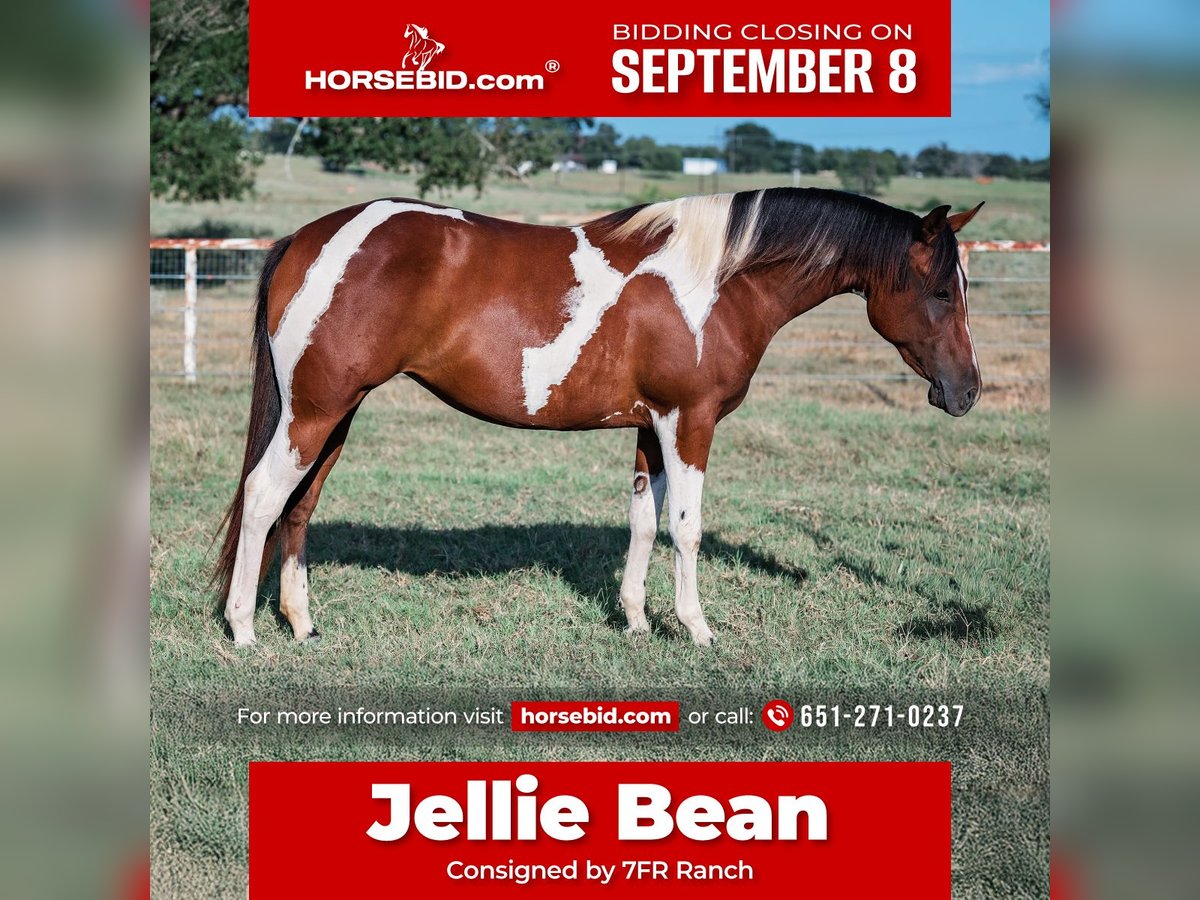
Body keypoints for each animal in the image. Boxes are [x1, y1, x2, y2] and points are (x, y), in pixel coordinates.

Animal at [213, 188, 984, 647]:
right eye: (942, 290)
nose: (968, 391)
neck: (715, 283)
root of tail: (307, 240)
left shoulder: (650, 427)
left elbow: (643, 521)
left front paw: (637, 622)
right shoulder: (689, 422)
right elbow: (686, 528)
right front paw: (697, 629)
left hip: (334, 416)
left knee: (300, 507)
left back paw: (302, 624)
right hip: (315, 412)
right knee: (263, 496)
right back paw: (245, 630)